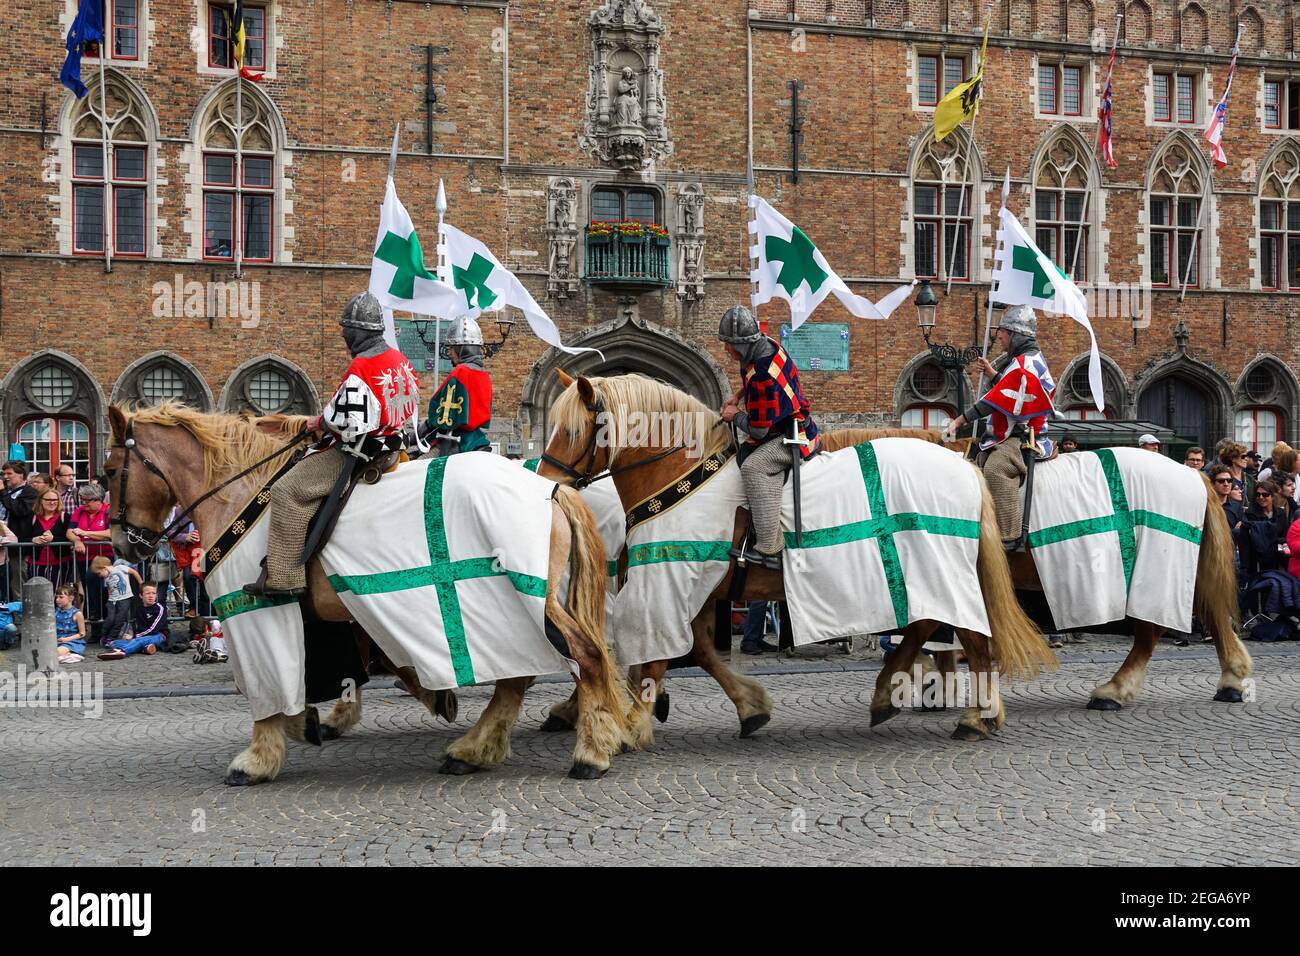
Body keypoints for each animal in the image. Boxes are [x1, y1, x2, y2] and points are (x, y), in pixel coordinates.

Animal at [104, 403, 631, 785]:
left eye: (109, 471)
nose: (122, 543)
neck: (242, 492)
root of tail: (550, 490)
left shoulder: (256, 613)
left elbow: (269, 688)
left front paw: (257, 758)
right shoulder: (332, 617)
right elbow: (343, 667)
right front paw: (315, 721)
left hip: (528, 602)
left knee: (582, 656)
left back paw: (591, 752)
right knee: (522, 675)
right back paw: (477, 748)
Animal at [538, 374, 1055, 749]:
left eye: (574, 430)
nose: (546, 484)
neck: (682, 477)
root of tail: (965, 468)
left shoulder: (670, 580)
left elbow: (662, 657)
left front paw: (634, 722)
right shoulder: (699, 588)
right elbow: (699, 651)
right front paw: (751, 707)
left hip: (942, 572)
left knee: (967, 633)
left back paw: (974, 715)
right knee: (934, 628)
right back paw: (902, 695)